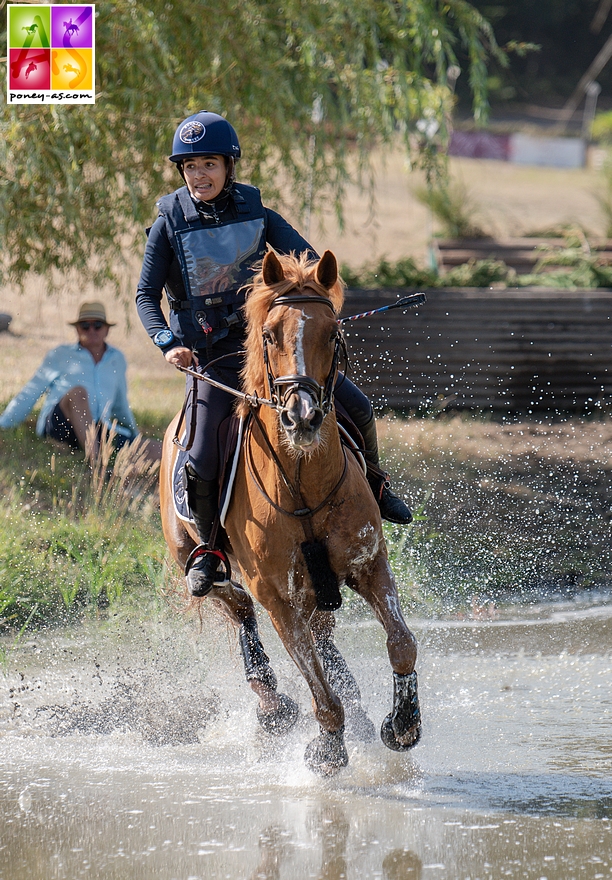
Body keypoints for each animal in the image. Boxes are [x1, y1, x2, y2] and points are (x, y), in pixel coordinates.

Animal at [159, 251, 420, 772]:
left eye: (333, 333)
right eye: (269, 334)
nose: (302, 417)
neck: (301, 484)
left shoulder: (368, 565)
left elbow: (401, 643)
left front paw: (403, 723)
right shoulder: (278, 598)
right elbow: (316, 683)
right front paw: (329, 746)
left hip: (319, 590)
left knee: (323, 636)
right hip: (195, 560)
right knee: (238, 607)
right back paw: (272, 703)